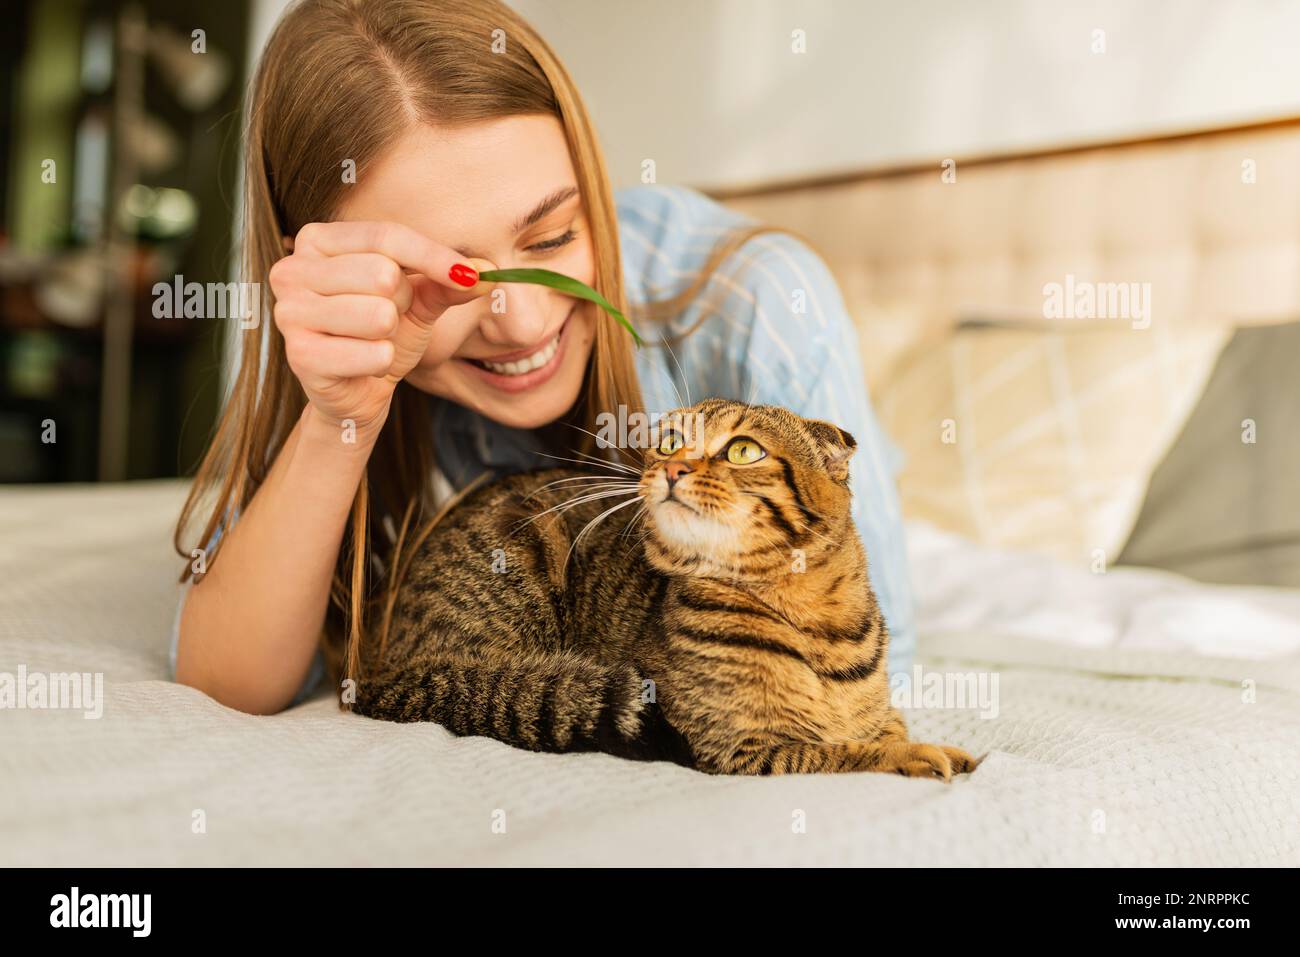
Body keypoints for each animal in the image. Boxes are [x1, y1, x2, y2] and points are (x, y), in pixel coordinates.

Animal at [351, 395, 977, 780]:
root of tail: (383, 668)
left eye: (743, 449)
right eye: (672, 441)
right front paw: (921, 755)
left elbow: (882, 728)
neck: (815, 622)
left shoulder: (868, 713)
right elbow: (843, 752)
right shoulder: (739, 747)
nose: (672, 468)